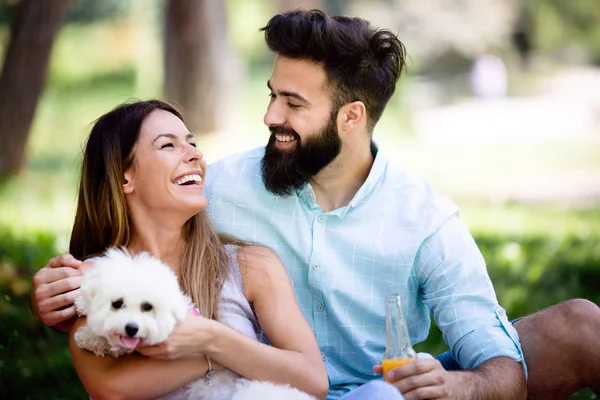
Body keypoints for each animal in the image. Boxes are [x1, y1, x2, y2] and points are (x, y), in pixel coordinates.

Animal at [76, 247, 314, 400]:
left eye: (147, 307)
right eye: (117, 303)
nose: (131, 328)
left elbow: (122, 346)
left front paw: (88, 336)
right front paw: (81, 307)